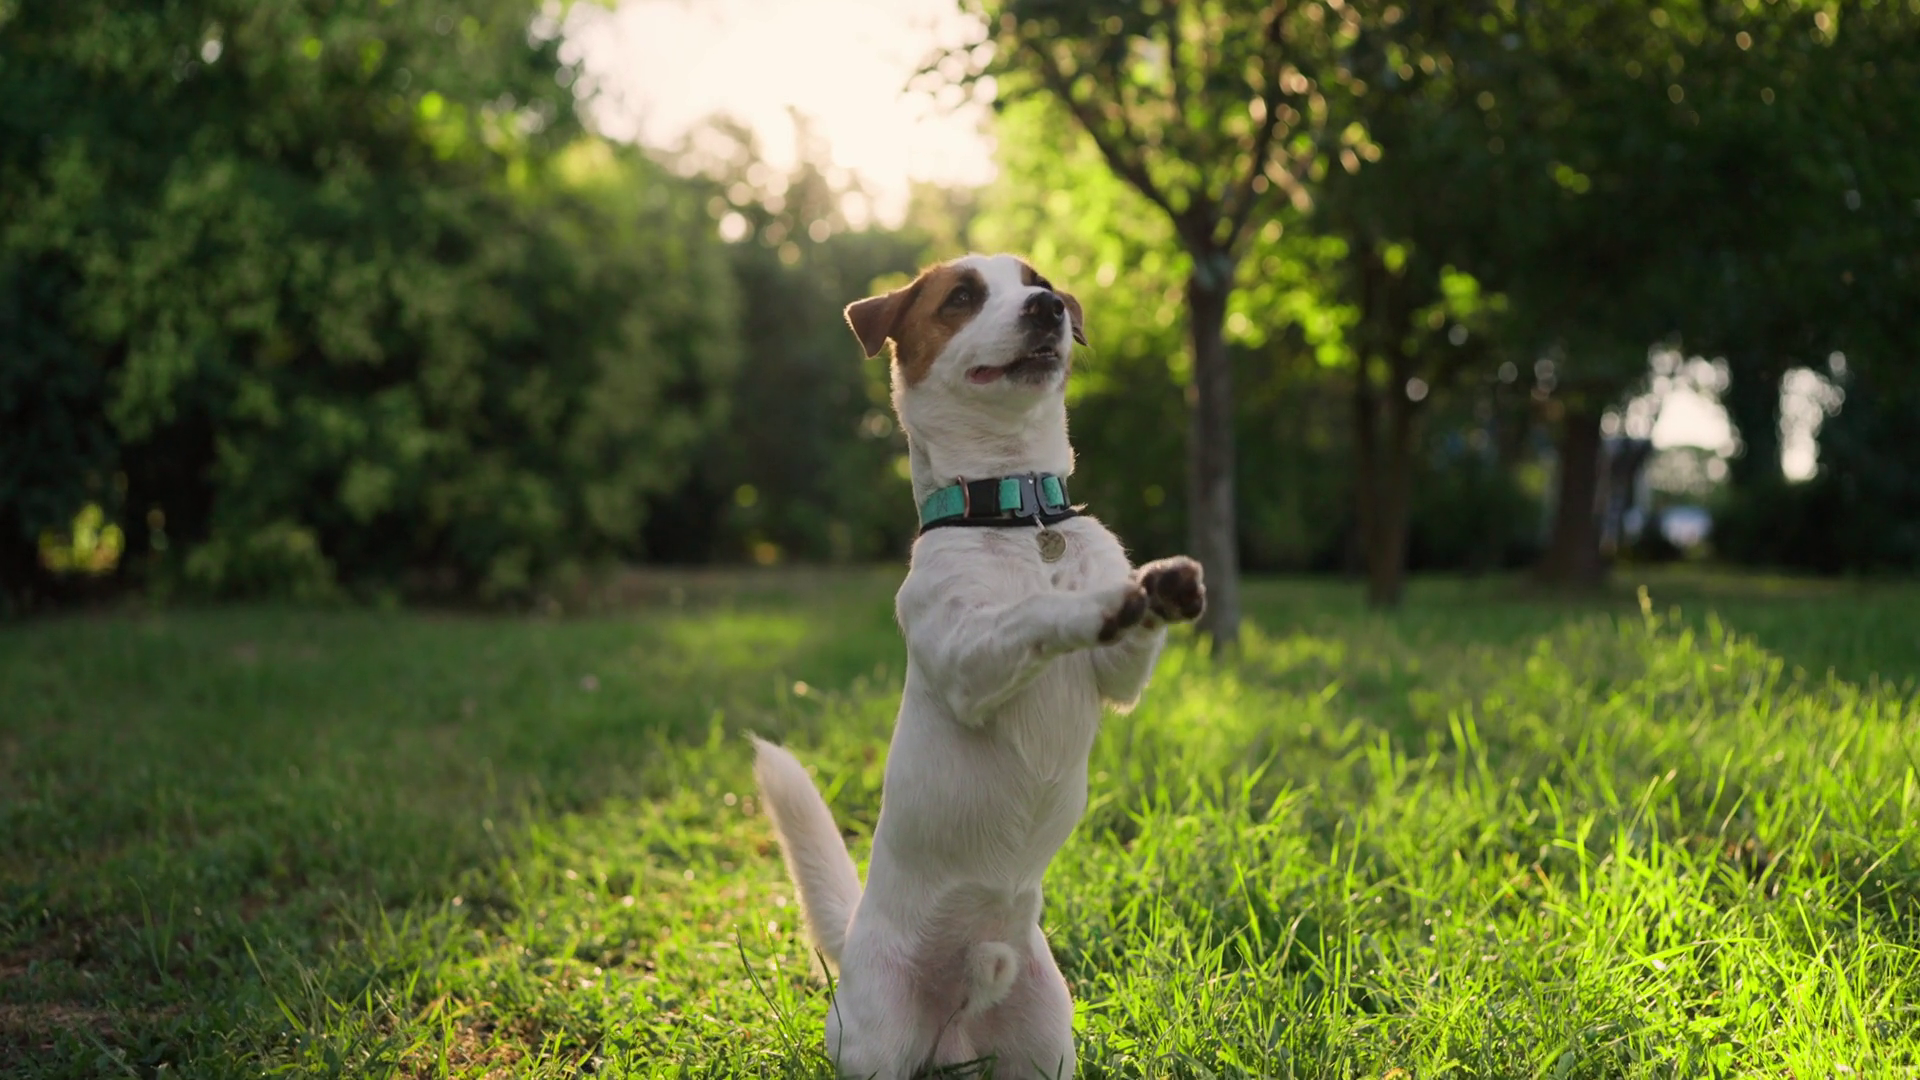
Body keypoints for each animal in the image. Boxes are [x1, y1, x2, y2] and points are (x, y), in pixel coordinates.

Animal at [751, 254, 1205, 1079]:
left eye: (1039, 282)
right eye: (960, 297)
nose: (1048, 307)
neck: (1019, 512)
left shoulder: (1120, 681)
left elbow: (1129, 634)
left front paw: (1156, 588)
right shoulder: (969, 660)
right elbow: (1032, 615)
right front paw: (1094, 603)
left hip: (1045, 1041)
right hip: (878, 1043)